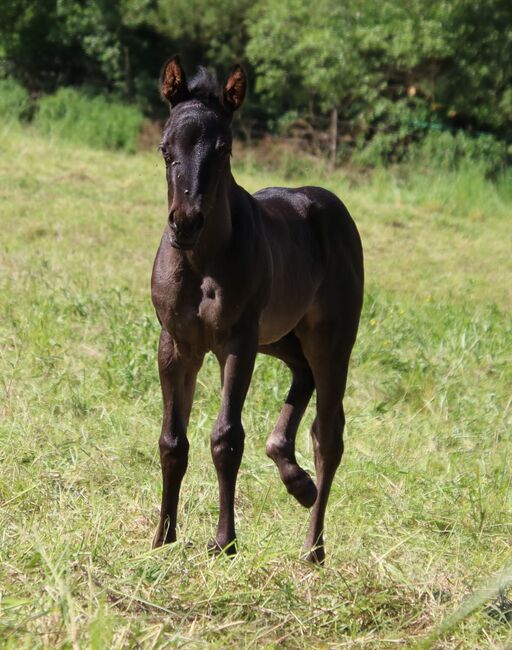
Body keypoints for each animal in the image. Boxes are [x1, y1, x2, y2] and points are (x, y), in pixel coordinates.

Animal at [151, 57, 364, 560]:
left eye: (224, 149)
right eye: (165, 147)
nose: (185, 223)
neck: (201, 260)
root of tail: (330, 204)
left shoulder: (237, 343)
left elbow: (226, 438)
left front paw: (224, 541)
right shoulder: (177, 345)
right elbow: (172, 441)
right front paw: (162, 537)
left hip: (329, 340)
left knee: (329, 434)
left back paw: (313, 546)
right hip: (282, 336)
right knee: (301, 375)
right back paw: (296, 479)